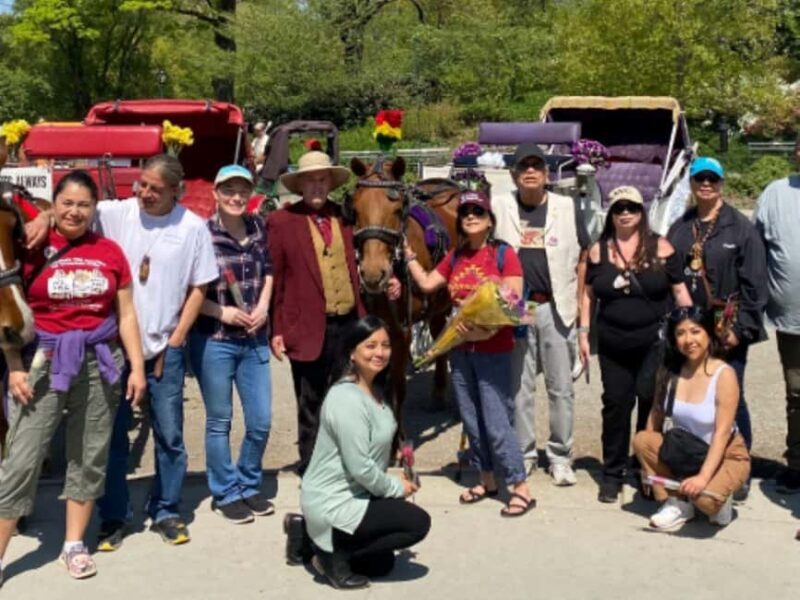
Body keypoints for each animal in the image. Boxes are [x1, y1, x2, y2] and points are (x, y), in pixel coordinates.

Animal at [343, 156, 462, 434]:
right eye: (356, 209)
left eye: (397, 209)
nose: (373, 273)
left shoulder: (402, 330)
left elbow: (397, 386)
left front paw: (398, 440)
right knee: (438, 330)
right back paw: (439, 391)